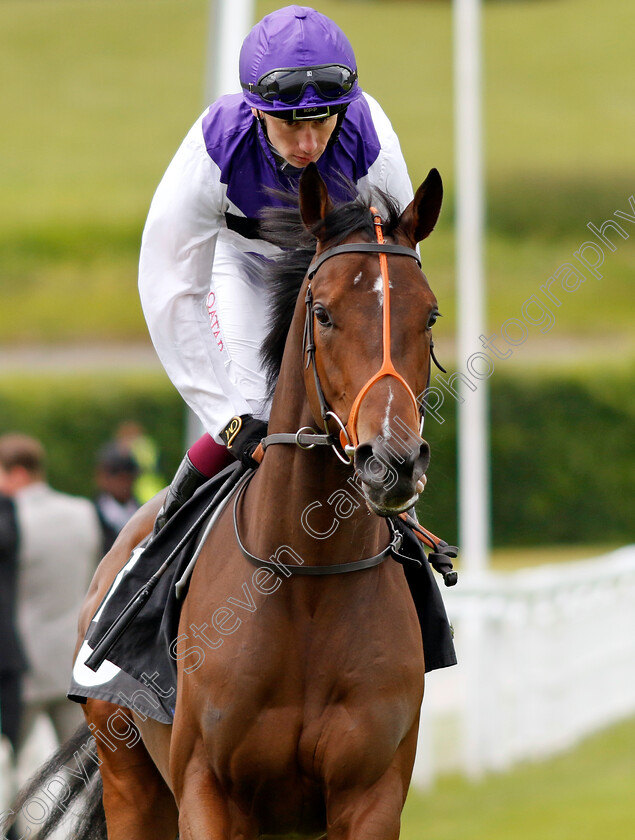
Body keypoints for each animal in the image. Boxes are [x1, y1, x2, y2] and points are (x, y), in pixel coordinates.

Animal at [4, 164, 444, 840]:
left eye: (429, 316)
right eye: (323, 313)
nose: (391, 459)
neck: (305, 579)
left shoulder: (370, 796)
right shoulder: (207, 791)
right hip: (130, 777)